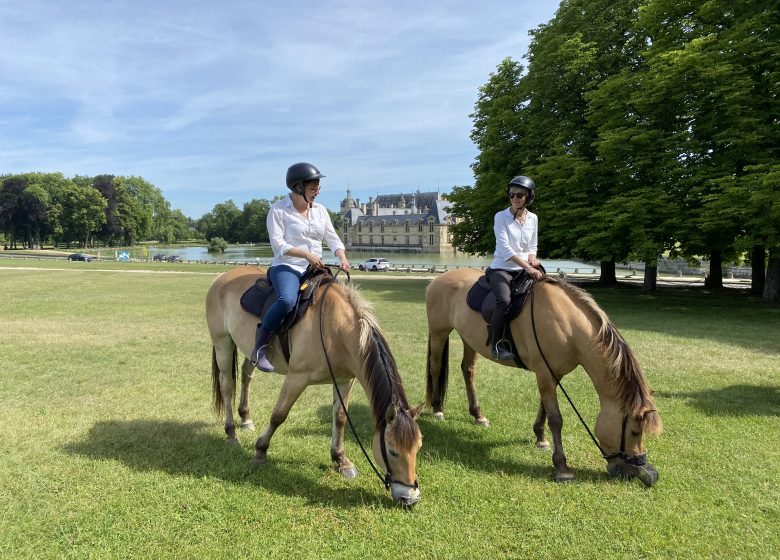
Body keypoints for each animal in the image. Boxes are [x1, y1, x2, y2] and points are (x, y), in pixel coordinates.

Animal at [207, 266, 424, 508]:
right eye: (393, 451)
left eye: (418, 448)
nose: (410, 498)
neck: (336, 329)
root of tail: (222, 277)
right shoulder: (296, 377)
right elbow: (278, 415)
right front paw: (260, 451)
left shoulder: (344, 380)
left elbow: (340, 418)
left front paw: (340, 460)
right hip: (223, 343)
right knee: (227, 386)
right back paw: (231, 433)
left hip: (249, 351)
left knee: (246, 376)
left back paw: (245, 419)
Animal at [424, 270, 660, 484]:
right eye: (634, 431)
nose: (634, 472)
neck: (568, 326)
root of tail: (439, 279)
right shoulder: (545, 372)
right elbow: (556, 419)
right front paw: (562, 467)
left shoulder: (553, 373)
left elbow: (545, 409)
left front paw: (540, 438)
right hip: (439, 332)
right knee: (435, 367)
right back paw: (437, 409)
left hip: (468, 339)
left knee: (468, 370)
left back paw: (477, 415)